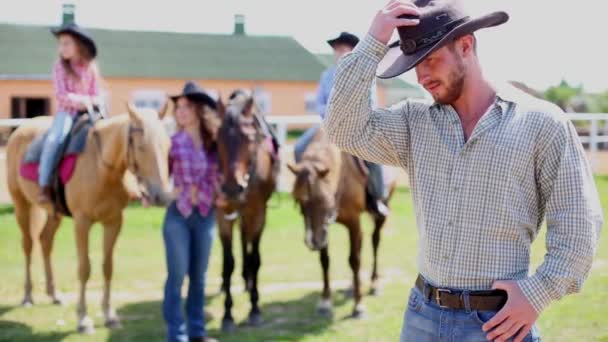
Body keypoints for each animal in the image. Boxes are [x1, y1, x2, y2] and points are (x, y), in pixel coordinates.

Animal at [6, 104, 173, 334]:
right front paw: (83, 319)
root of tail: (21, 129)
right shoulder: (82, 222)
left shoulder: (114, 221)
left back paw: (54, 294)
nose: (162, 196)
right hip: (21, 204)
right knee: (28, 245)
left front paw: (110, 316)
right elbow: (84, 268)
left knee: (45, 241)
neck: (101, 167)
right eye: (141, 147)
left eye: (167, 146)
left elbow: (107, 267)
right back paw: (28, 296)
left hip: (54, 213)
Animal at [213, 90, 280, 332]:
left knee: (247, 243)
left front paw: (255, 308)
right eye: (218, 137)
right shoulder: (223, 214)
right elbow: (228, 262)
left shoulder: (259, 213)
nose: (233, 188)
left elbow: (255, 258)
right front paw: (227, 314)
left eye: (249, 138)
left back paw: (247, 280)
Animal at [288, 128, 396, 318]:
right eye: (299, 200)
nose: (312, 242)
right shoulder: (323, 229)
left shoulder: (353, 223)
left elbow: (354, 260)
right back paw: (352, 286)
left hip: (382, 211)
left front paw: (358, 306)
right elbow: (325, 260)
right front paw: (325, 301)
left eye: (324, 199)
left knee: (375, 242)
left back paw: (374, 284)